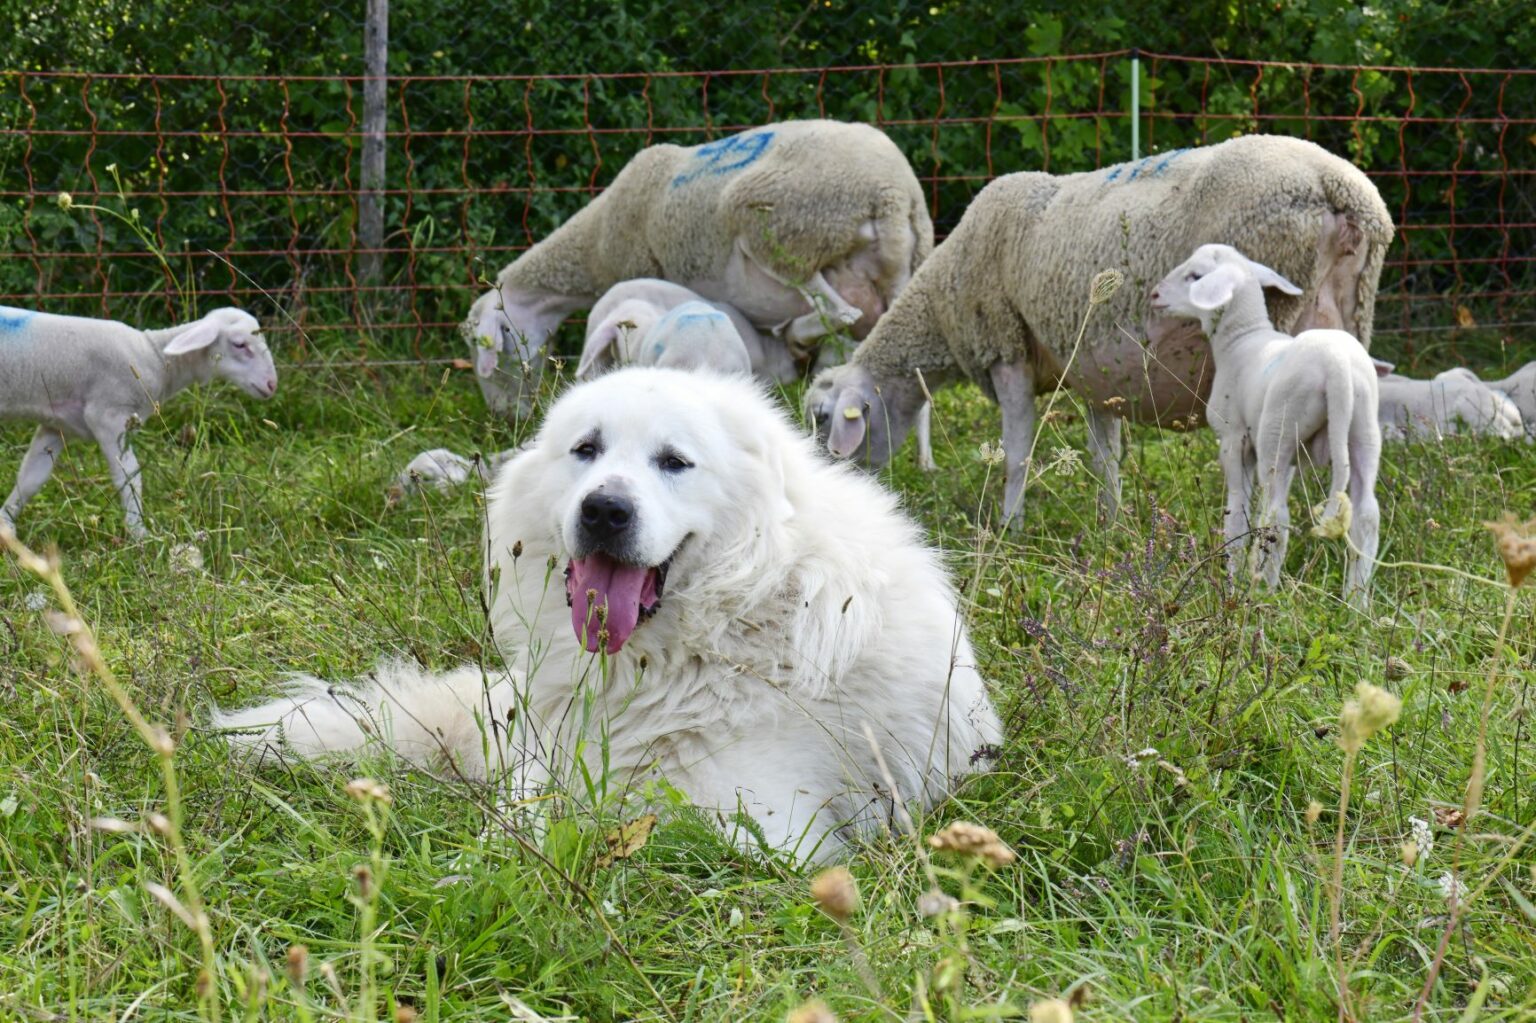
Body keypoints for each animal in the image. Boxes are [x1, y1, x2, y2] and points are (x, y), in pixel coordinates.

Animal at [0, 302, 273, 537]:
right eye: (239, 344)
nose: (272, 385)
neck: (155, 355)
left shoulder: (57, 424)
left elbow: (32, 477)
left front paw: (6, 526)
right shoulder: (108, 415)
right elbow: (129, 476)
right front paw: (140, 533)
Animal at [219, 367, 1007, 860]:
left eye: (674, 462)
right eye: (586, 450)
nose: (604, 510)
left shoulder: (760, 825)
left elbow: (621, 829)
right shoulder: (541, 771)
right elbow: (520, 823)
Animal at [463, 120, 933, 417]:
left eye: (489, 348)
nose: (503, 418)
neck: (593, 244)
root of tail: (893, 193)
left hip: (789, 233)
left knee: (839, 311)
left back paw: (797, 335)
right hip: (899, 272)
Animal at [811, 130, 1400, 522]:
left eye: (821, 419)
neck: (939, 300)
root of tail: (1339, 185)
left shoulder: (1005, 347)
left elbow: (1017, 453)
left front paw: (1007, 527)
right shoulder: (1096, 375)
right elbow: (1105, 457)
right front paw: (1110, 523)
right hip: (1349, 322)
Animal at [1148, 242, 1388, 602]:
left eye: (1195, 276)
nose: (1155, 295)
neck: (1240, 339)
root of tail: (1336, 366)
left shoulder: (1234, 441)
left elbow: (1237, 514)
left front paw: (1231, 578)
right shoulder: (1286, 462)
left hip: (1279, 428)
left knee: (1277, 517)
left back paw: (1263, 590)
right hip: (1363, 430)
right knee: (1366, 515)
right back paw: (1355, 602)